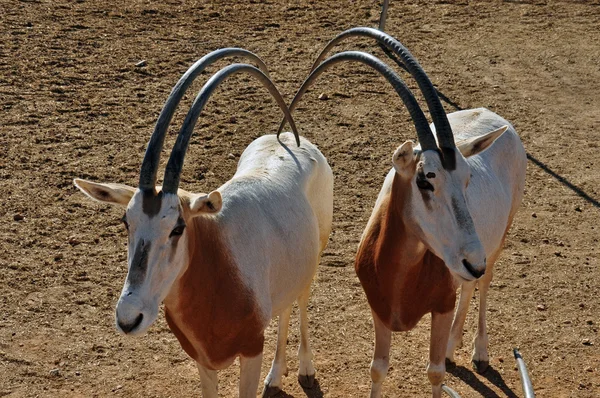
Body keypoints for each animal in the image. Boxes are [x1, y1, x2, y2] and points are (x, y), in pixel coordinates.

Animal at [74, 47, 332, 398]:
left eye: (178, 228)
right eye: (126, 222)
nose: (129, 318)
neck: (217, 259)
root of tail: (291, 141)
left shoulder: (252, 349)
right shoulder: (201, 359)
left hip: (314, 255)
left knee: (302, 301)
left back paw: (305, 368)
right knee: (286, 305)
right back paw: (276, 375)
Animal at [278, 28, 528, 398]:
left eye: (468, 178)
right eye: (426, 179)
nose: (473, 261)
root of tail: (494, 117)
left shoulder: (441, 306)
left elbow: (435, 373)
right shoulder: (379, 310)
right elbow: (378, 369)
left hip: (497, 242)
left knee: (482, 285)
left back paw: (479, 352)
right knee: (470, 286)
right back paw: (454, 345)